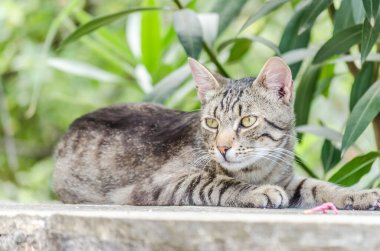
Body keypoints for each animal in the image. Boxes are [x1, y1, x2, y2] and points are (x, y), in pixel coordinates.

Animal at [52, 57, 380, 210]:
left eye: (247, 121)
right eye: (211, 123)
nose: (222, 148)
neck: (259, 169)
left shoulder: (289, 180)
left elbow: (321, 187)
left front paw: (359, 194)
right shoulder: (163, 183)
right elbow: (215, 183)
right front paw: (257, 192)